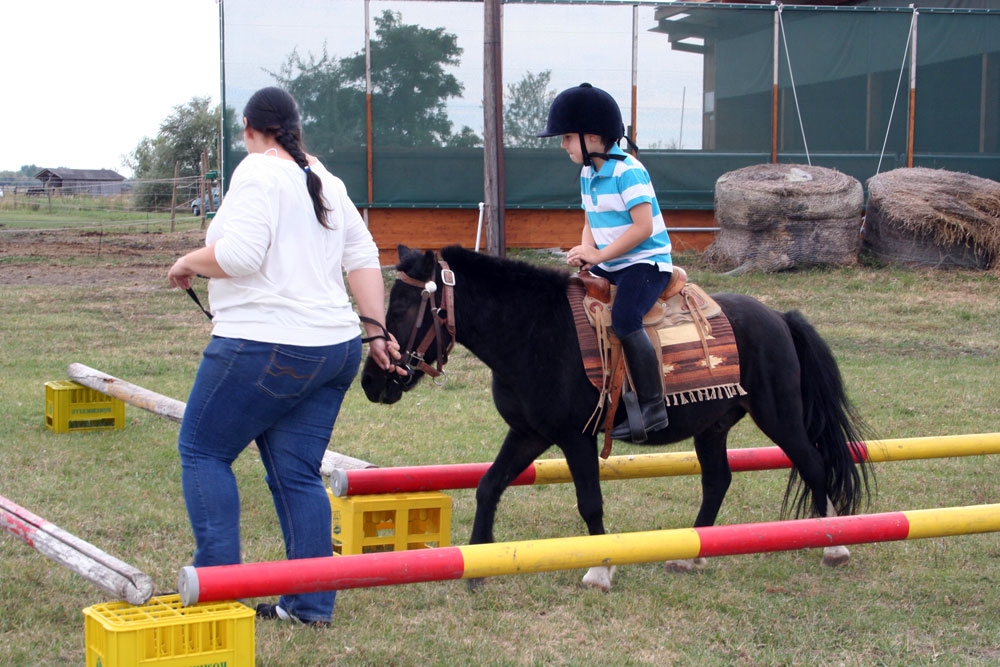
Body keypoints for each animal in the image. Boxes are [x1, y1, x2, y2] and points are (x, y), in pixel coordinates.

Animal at [362, 245, 876, 588]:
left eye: (403, 307)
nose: (373, 383)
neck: (533, 332)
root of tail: (779, 317)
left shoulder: (575, 437)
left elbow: (590, 502)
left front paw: (598, 569)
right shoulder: (528, 433)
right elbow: (489, 485)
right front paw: (478, 565)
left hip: (779, 415)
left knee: (813, 464)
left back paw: (833, 544)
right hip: (712, 427)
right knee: (718, 481)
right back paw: (692, 555)